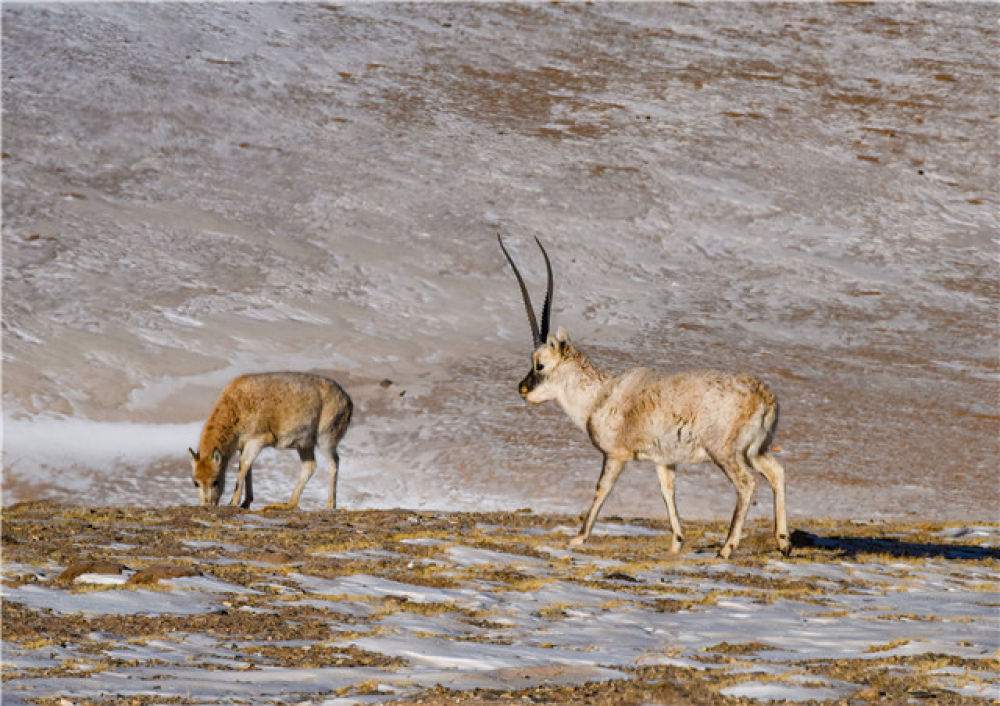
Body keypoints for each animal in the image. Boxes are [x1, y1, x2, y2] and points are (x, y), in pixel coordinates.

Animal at [189, 372, 354, 508]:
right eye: (195, 482)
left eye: (215, 481)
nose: (207, 505)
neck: (235, 407)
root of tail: (348, 401)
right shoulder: (244, 445)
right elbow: (248, 468)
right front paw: (246, 502)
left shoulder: (257, 440)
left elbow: (243, 466)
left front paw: (233, 502)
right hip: (304, 445)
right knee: (310, 466)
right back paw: (289, 503)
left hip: (325, 440)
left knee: (334, 462)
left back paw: (330, 505)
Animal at [498, 235, 788, 556]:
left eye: (539, 363)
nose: (522, 389)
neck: (601, 395)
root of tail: (765, 397)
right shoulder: (664, 461)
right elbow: (667, 492)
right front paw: (676, 542)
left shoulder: (615, 455)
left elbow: (602, 488)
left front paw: (578, 538)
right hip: (755, 450)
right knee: (777, 472)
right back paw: (783, 543)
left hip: (725, 453)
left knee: (747, 484)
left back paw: (726, 548)